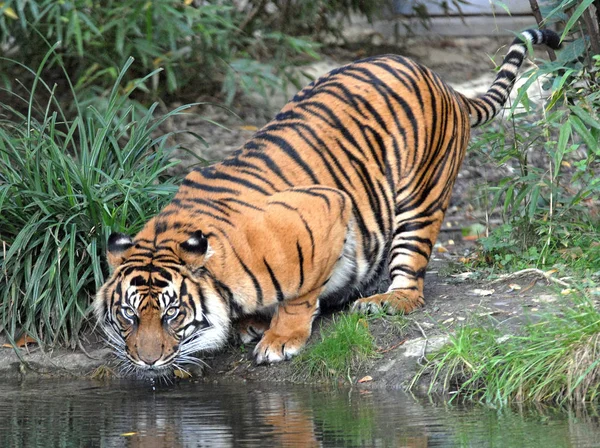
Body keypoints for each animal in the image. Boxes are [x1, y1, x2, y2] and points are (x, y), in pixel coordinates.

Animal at [92, 29, 556, 374]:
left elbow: (299, 293)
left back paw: (385, 301)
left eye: (171, 315)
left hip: (422, 197)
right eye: (129, 316)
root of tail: (448, 86)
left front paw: (279, 339)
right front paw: (251, 323)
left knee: (411, 274)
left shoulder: (324, 208)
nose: (147, 361)